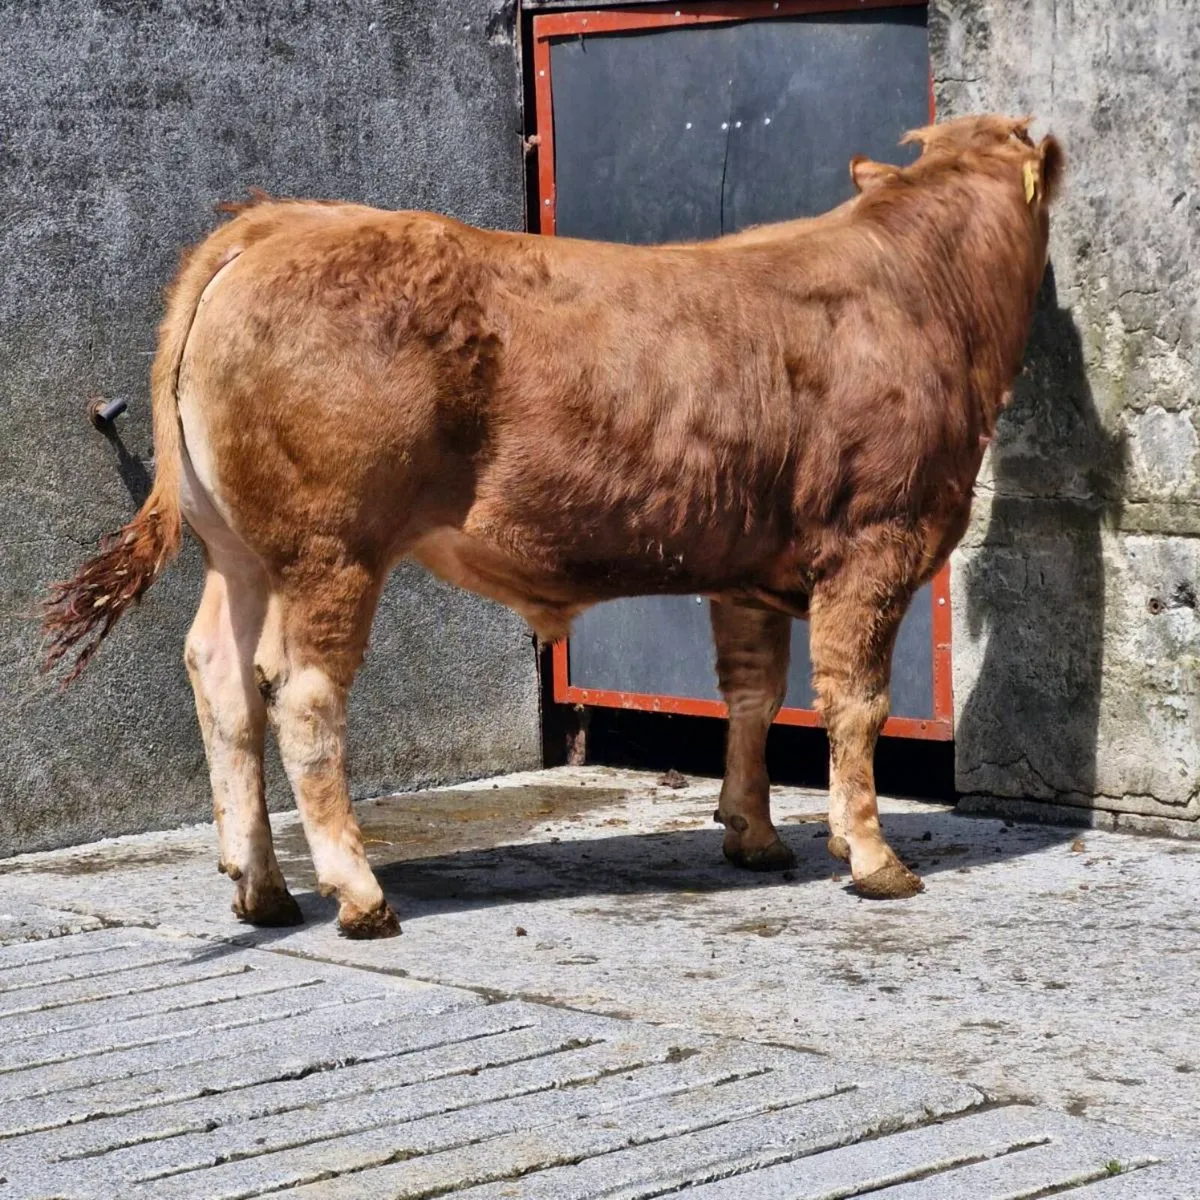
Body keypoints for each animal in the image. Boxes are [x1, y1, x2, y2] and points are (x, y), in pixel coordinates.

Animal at [43, 114, 1063, 938]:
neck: (919, 289)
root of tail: (280, 221)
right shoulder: (875, 542)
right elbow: (855, 704)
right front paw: (874, 859)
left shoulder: (743, 564)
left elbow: (753, 696)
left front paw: (754, 834)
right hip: (330, 549)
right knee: (300, 695)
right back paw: (357, 892)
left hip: (239, 552)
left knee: (221, 678)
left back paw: (261, 888)